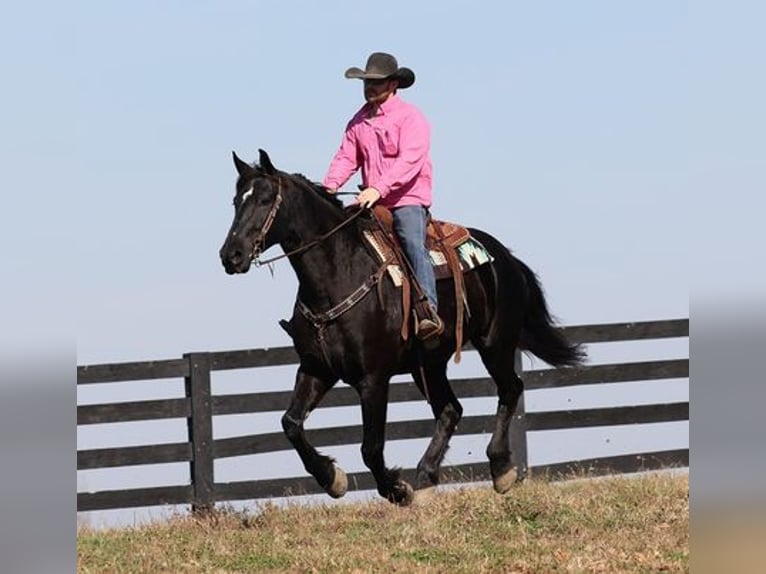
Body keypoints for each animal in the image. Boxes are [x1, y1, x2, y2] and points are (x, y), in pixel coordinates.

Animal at [219, 151, 584, 506]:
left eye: (265, 199)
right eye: (236, 201)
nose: (230, 255)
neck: (338, 274)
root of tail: (505, 257)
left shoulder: (373, 379)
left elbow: (370, 447)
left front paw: (396, 489)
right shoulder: (316, 368)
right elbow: (291, 424)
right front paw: (332, 478)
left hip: (495, 344)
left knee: (509, 389)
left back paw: (500, 468)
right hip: (430, 365)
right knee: (450, 409)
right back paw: (426, 477)